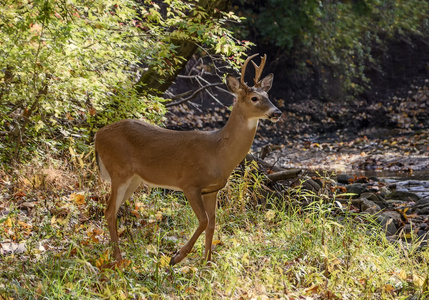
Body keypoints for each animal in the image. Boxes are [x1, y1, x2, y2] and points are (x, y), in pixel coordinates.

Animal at [94, 54, 280, 264]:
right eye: (254, 98)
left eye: (268, 96)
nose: (277, 112)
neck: (218, 153)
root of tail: (98, 136)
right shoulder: (189, 184)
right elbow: (204, 220)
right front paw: (177, 257)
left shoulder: (212, 190)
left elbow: (212, 223)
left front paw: (207, 262)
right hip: (119, 171)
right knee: (109, 211)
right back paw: (118, 259)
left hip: (134, 179)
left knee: (112, 210)